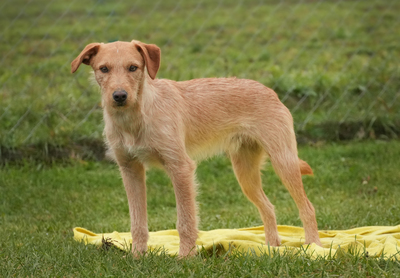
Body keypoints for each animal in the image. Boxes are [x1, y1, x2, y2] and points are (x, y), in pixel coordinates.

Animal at [71, 40, 322, 258]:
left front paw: (185, 257)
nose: (120, 96)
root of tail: (270, 91)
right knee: (268, 207)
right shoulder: (130, 170)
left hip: (283, 162)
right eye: (103, 69)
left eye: (133, 67)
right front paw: (137, 257)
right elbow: (138, 222)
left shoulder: (180, 168)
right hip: (245, 174)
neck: (136, 117)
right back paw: (271, 247)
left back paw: (313, 247)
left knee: (308, 208)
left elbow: (185, 220)